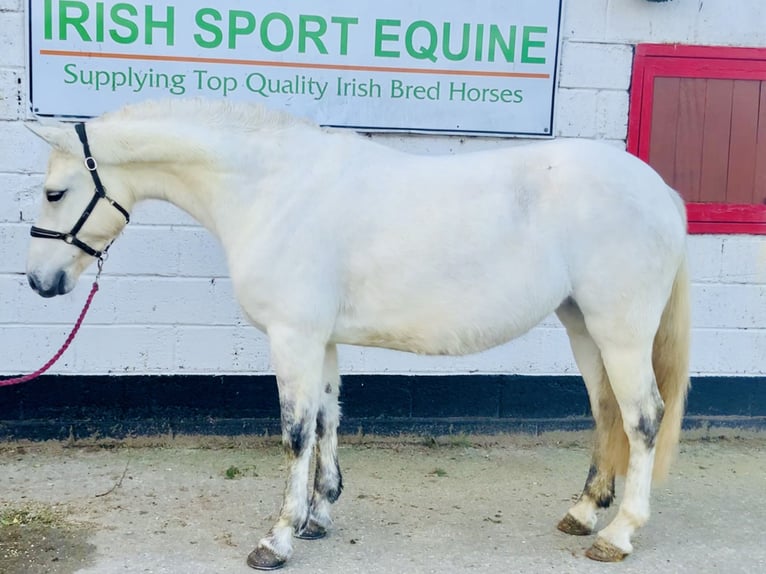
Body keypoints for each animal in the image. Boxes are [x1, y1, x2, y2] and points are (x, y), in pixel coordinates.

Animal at [25, 99, 688, 572]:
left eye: (56, 192)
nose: (38, 281)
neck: (273, 191)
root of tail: (664, 193)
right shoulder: (320, 340)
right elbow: (325, 420)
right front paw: (318, 516)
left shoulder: (292, 337)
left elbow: (295, 433)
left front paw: (277, 539)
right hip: (583, 325)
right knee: (607, 412)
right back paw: (584, 513)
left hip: (620, 331)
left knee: (643, 418)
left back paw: (619, 535)